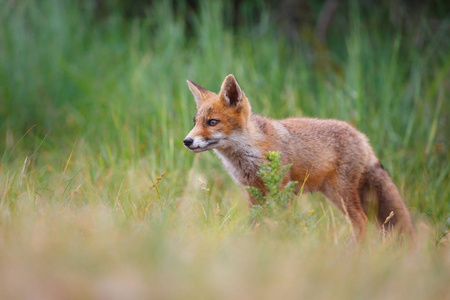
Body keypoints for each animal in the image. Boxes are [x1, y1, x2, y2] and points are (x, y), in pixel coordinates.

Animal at [184, 73, 414, 239]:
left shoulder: (282, 188)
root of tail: (362, 137)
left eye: (212, 122)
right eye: (195, 122)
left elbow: (281, 221)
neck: (249, 152)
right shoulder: (253, 192)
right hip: (337, 194)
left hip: (342, 194)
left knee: (361, 222)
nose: (187, 141)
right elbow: (256, 224)